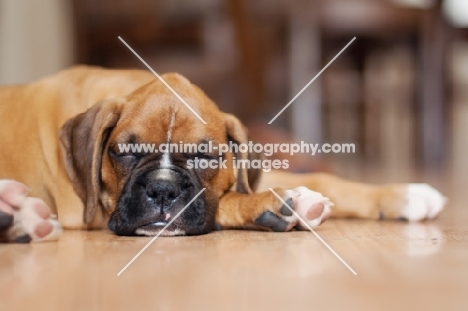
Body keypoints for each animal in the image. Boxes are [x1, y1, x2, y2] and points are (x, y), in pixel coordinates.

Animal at [0, 67, 446, 244]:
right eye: (125, 152)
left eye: (206, 158)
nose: (162, 191)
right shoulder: (85, 213)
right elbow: (228, 199)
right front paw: (276, 205)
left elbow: (321, 178)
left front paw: (402, 195)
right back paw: (18, 213)